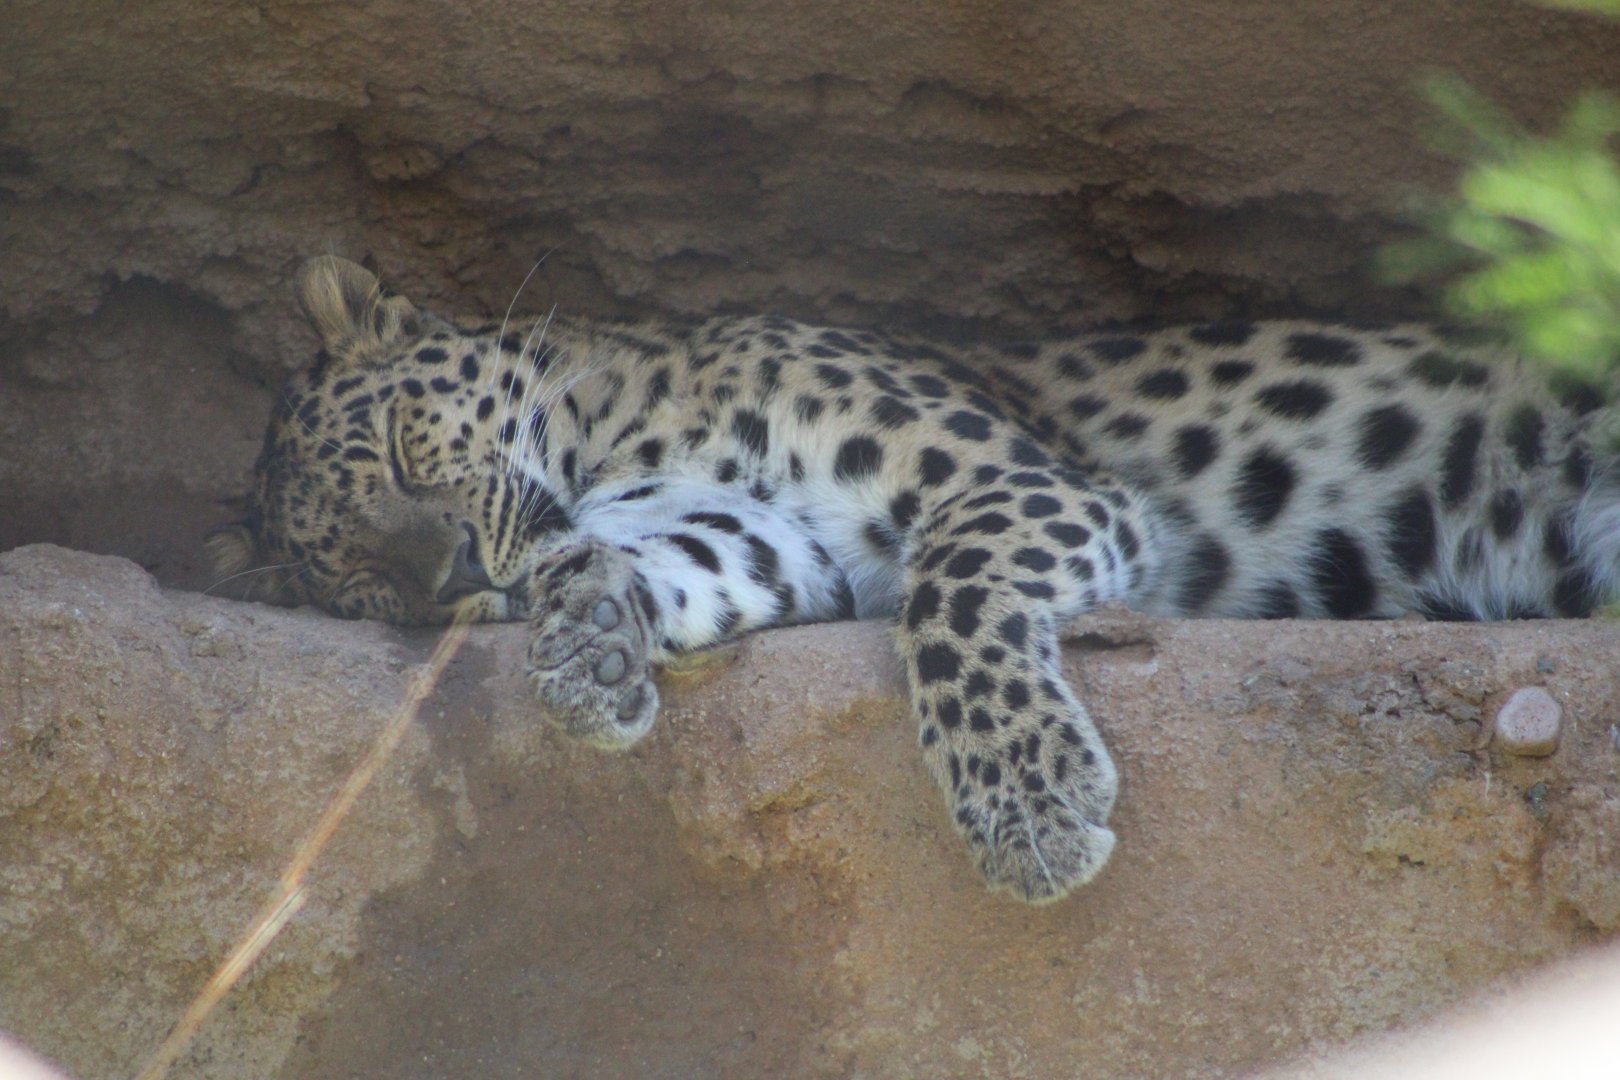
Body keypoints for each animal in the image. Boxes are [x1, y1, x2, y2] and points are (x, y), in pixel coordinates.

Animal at [209, 254, 1620, 904]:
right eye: (366, 588)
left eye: (402, 449)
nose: (446, 566)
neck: (615, 439)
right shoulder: (770, 535)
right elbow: (680, 562)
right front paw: (592, 640)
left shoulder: (1025, 482)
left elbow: (953, 593)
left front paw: (1030, 806)